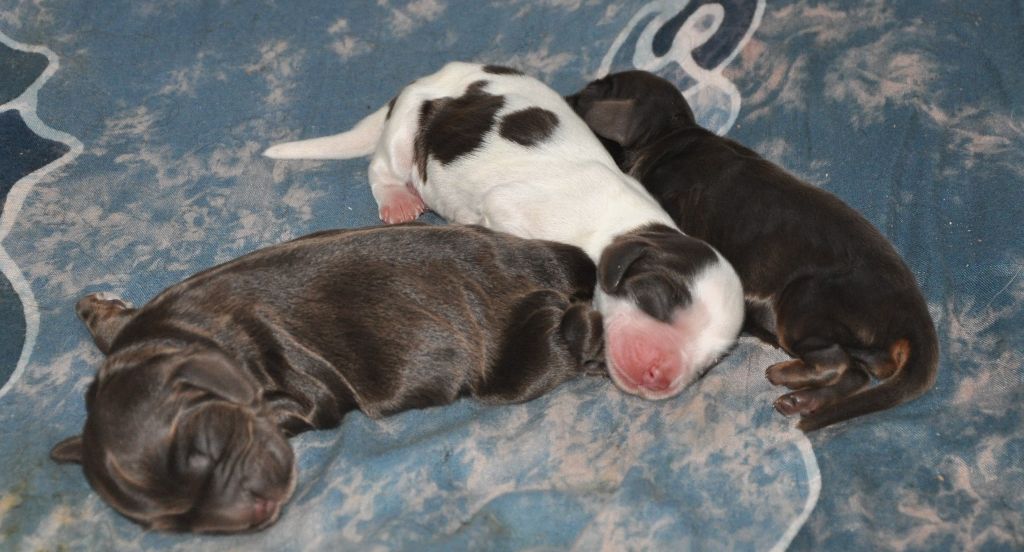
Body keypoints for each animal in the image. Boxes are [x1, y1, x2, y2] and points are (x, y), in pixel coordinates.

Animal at [50, 223, 605, 533]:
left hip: (517, 363)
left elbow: (287, 409)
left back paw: (597, 344)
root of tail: (543, 263)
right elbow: (113, 332)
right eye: (174, 524)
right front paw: (96, 308)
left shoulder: (311, 393)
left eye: (209, 444)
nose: (255, 515)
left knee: (571, 331)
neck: (185, 336)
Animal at [264, 62, 744, 399]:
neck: (625, 227)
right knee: (380, 167)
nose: (660, 377)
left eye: (708, 364)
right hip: (404, 134)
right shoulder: (512, 213)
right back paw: (398, 201)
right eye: (658, 299)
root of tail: (430, 77)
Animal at [567, 70, 939, 431]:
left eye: (595, 88)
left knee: (836, 363)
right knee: (856, 375)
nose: (566, 97)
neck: (670, 136)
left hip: (803, 305)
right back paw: (802, 400)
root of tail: (914, 318)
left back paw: (786, 373)